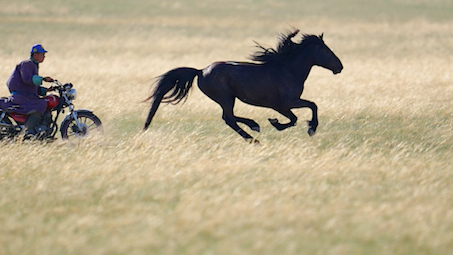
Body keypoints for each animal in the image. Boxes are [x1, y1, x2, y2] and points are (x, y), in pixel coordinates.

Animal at [145, 29, 342, 143]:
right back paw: (253, 137)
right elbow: (307, 109)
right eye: (326, 50)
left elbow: (300, 114)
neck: (288, 70)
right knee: (228, 118)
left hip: (228, 98)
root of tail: (200, 71)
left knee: (229, 117)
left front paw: (277, 123)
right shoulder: (285, 103)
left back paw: (254, 127)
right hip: (225, 97)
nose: (340, 67)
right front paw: (308, 128)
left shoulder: (283, 105)